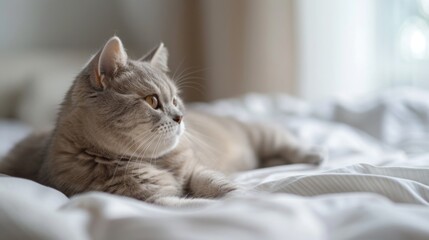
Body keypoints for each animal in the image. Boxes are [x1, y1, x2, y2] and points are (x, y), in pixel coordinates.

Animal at [0, 36, 320, 206]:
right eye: (153, 101)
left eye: (175, 100)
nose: (180, 116)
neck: (157, 162)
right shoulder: (156, 199)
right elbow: (195, 203)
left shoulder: (195, 171)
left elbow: (219, 185)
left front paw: (243, 195)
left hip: (262, 134)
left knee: (286, 143)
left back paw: (313, 155)